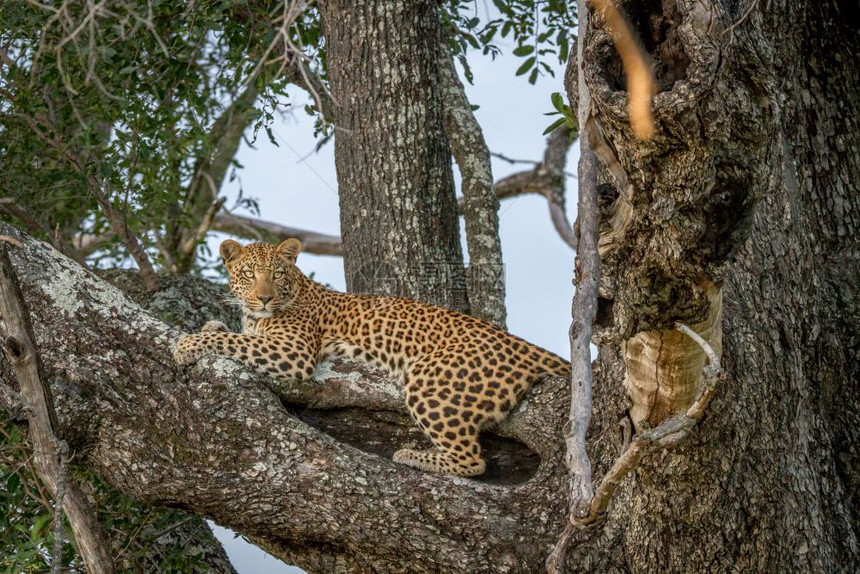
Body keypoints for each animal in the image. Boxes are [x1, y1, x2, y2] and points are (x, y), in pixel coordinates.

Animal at [174, 238, 572, 476]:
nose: (265, 298)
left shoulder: (293, 350)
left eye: (277, 273)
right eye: (248, 274)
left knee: (472, 461)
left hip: (429, 378)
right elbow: (235, 335)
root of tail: (521, 344)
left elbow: (233, 341)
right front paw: (210, 325)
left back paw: (412, 456)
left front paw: (187, 344)